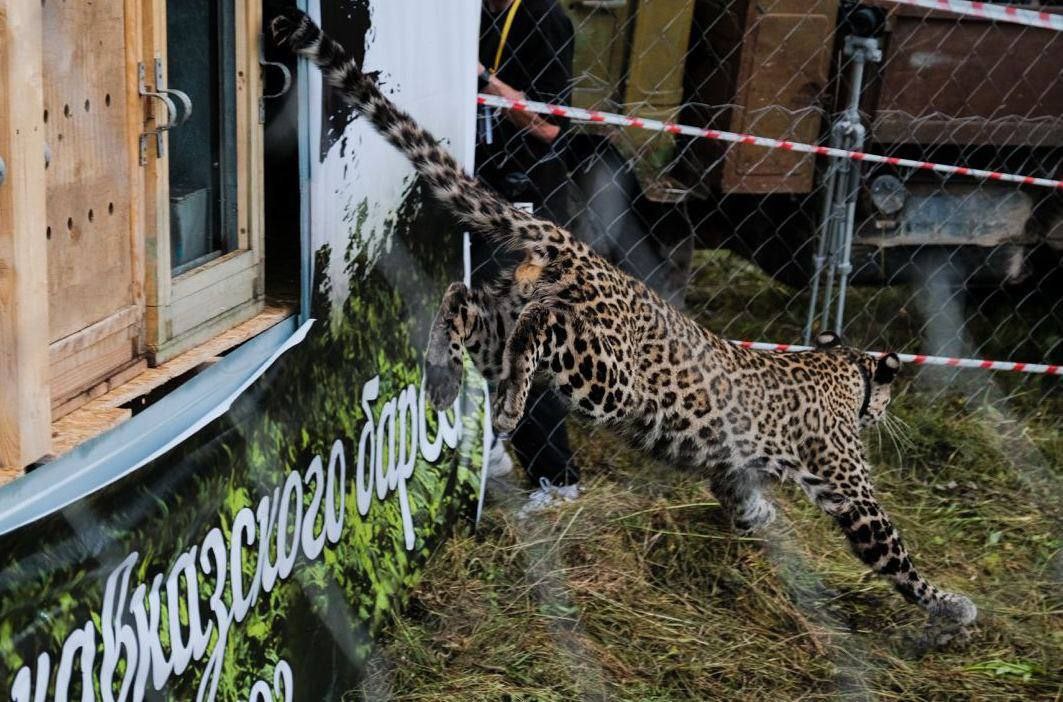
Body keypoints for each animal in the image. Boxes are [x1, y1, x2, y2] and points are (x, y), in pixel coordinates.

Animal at [270, 6, 973, 642]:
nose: (885, 415)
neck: (841, 366)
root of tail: (571, 245)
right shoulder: (849, 488)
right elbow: (897, 555)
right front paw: (953, 608)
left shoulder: (731, 467)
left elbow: (741, 496)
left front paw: (763, 520)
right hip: (607, 375)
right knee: (541, 326)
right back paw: (506, 409)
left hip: (501, 322)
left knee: (459, 298)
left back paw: (444, 380)